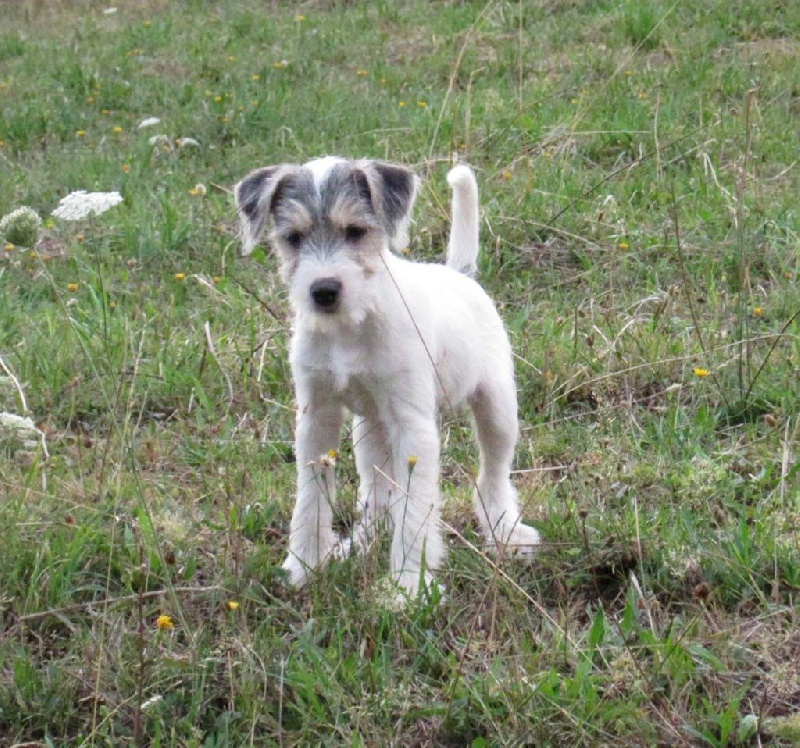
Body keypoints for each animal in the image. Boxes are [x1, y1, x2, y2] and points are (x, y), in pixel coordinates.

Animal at [234, 156, 540, 596]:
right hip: (369, 429)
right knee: (378, 493)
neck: (353, 326)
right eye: (293, 237)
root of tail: (460, 274)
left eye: (355, 231)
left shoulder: (412, 427)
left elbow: (414, 512)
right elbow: (311, 499)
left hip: (497, 408)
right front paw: (303, 567)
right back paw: (360, 543)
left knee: (493, 475)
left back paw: (507, 534)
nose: (323, 291)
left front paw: (409, 589)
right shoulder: (316, 419)